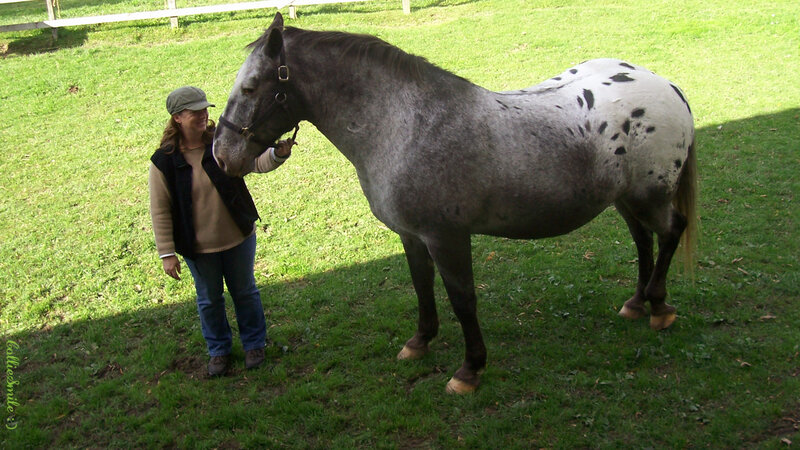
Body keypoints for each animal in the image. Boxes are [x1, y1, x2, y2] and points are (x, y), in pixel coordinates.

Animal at [213, 13, 697, 394]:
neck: (406, 125)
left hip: (650, 197)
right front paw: (419, 342)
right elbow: (422, 286)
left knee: (672, 231)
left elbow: (462, 298)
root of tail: (668, 86)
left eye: (252, 86)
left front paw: (470, 370)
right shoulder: (412, 236)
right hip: (625, 199)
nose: (220, 155)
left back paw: (659, 308)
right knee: (643, 241)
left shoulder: (447, 237)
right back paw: (635, 303)